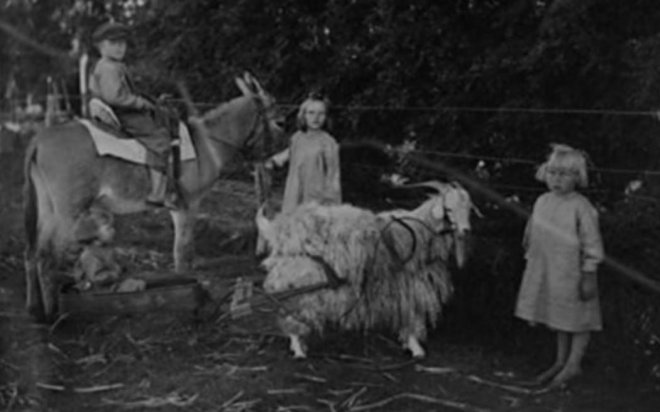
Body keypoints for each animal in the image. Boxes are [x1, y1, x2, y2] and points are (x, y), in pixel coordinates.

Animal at [23, 72, 283, 321]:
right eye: (279, 122)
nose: (278, 162)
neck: (205, 144)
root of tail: (39, 139)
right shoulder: (188, 205)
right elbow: (183, 252)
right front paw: (187, 289)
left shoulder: (178, 208)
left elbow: (180, 251)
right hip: (67, 213)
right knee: (48, 257)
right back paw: (52, 314)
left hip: (49, 210)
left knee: (34, 253)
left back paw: (36, 310)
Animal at [256, 181, 472, 359]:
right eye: (449, 208)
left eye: (468, 209)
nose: (466, 230)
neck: (421, 231)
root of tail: (282, 230)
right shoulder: (412, 282)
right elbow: (413, 313)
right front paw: (416, 348)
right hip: (303, 281)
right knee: (293, 313)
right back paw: (299, 349)